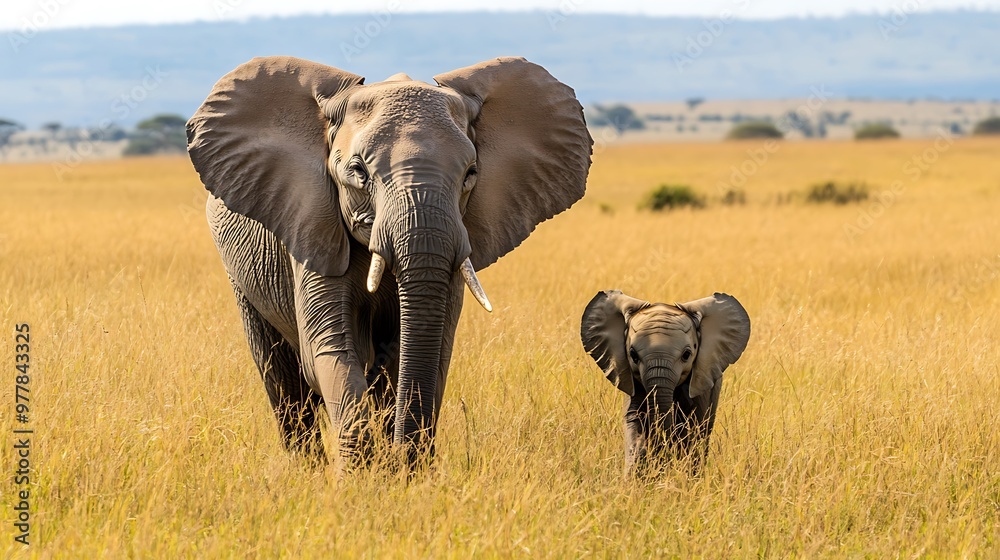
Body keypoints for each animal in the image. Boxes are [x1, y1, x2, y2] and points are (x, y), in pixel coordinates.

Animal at [187, 56, 592, 465]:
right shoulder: (313, 226)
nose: (404, 458)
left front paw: (400, 469)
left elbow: (427, 351)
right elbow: (329, 348)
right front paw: (360, 474)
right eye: (359, 172)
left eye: (471, 173)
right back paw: (307, 469)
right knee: (282, 379)